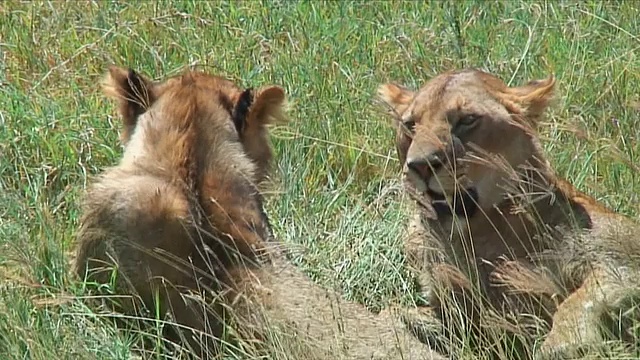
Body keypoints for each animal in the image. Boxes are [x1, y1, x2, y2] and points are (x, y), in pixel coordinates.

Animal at [378, 69, 640, 358]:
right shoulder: (460, 309)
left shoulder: (622, 256)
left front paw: (564, 342)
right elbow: (395, 312)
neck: (476, 233)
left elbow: (586, 295)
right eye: (410, 125)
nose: (421, 165)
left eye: (468, 120)